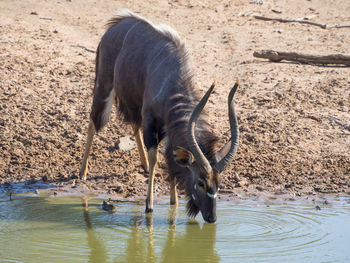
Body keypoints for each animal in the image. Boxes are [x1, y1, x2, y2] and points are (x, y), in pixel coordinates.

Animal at [79, 9, 239, 223]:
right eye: (201, 182)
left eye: (219, 183)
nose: (211, 217)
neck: (171, 79)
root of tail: (115, 25)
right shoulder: (151, 121)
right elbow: (156, 157)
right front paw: (149, 205)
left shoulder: (166, 128)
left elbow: (169, 158)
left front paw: (174, 202)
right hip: (104, 88)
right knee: (93, 122)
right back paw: (82, 173)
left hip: (133, 103)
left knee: (133, 125)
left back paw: (144, 166)